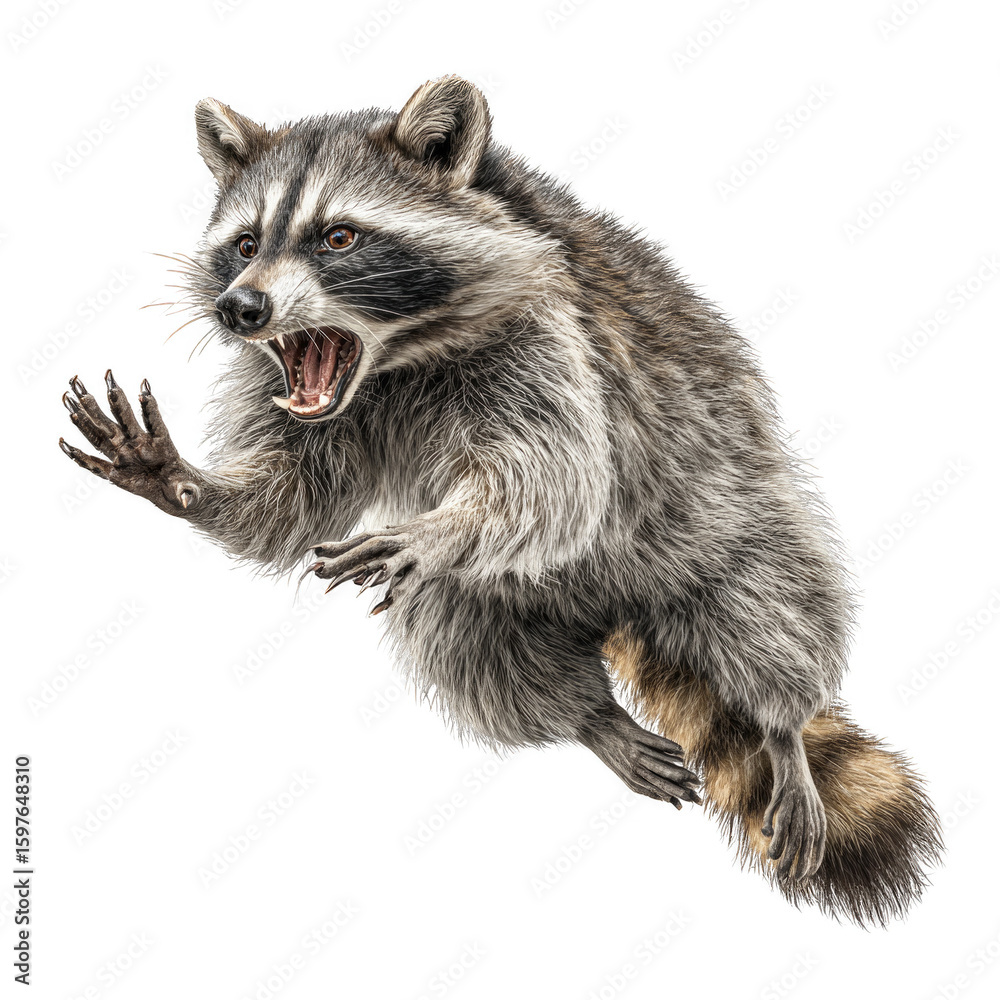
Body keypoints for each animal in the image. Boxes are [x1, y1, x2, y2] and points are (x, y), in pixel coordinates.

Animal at [59, 76, 942, 925]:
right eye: (245, 244)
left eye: (337, 237)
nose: (240, 308)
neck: (395, 359)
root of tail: (615, 610)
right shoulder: (295, 391)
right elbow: (292, 498)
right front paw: (191, 485)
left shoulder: (552, 345)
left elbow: (556, 476)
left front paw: (443, 526)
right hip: (500, 600)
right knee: (467, 637)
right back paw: (588, 716)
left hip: (731, 516)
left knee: (766, 610)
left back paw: (780, 728)